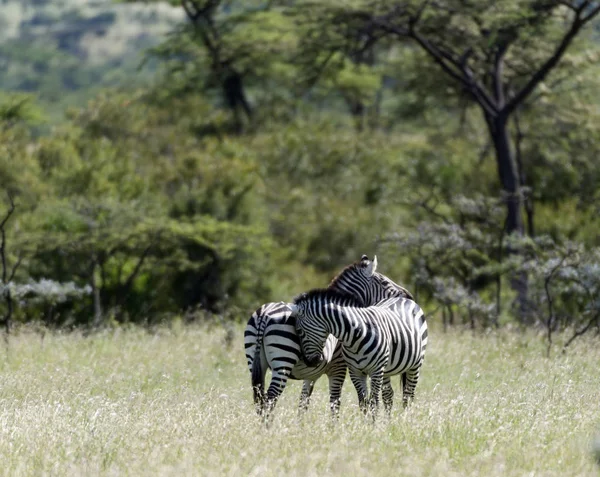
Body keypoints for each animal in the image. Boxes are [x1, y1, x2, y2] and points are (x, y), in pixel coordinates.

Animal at [290, 286, 426, 416]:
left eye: (299, 331)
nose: (309, 362)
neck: (355, 337)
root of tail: (403, 299)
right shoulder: (355, 372)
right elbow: (363, 402)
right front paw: (364, 423)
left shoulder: (376, 371)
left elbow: (374, 403)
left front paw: (372, 424)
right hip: (386, 369)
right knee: (388, 395)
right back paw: (387, 421)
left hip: (415, 366)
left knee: (408, 396)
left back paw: (406, 418)